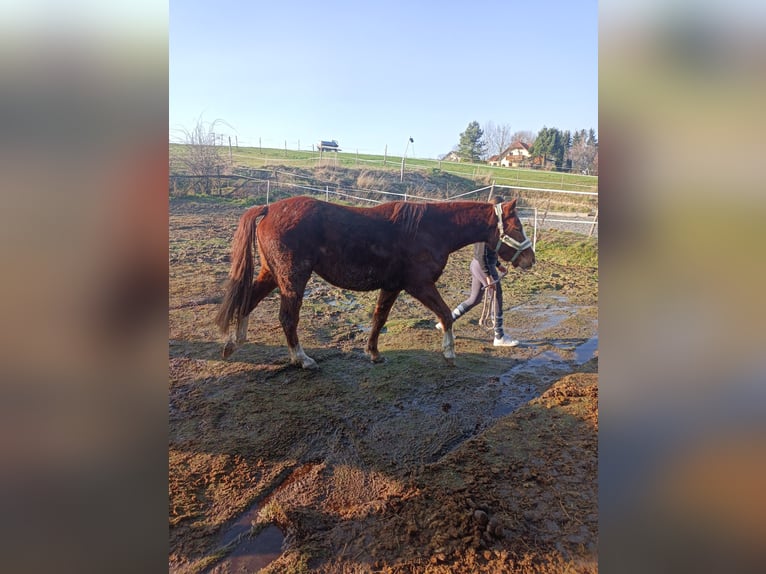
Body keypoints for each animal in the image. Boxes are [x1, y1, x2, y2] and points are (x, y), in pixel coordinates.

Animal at [215, 195, 535, 369]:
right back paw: (302, 359)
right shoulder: (419, 285)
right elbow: (445, 314)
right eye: (518, 226)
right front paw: (449, 353)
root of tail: (269, 208)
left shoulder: (392, 286)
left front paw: (374, 353)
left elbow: (379, 319)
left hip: (272, 273)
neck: (430, 229)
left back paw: (234, 343)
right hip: (293, 279)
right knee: (287, 318)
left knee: (248, 300)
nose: (530, 259)